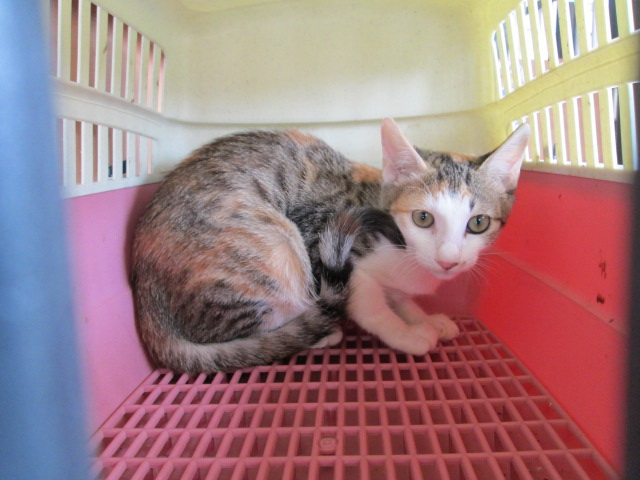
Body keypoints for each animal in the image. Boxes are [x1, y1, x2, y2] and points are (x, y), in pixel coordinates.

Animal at [131, 118, 530, 373]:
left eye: (478, 223)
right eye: (423, 218)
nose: (449, 261)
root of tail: (144, 293)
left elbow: (399, 297)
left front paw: (422, 317)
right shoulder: (321, 235)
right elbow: (371, 305)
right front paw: (407, 333)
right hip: (273, 247)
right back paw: (317, 332)